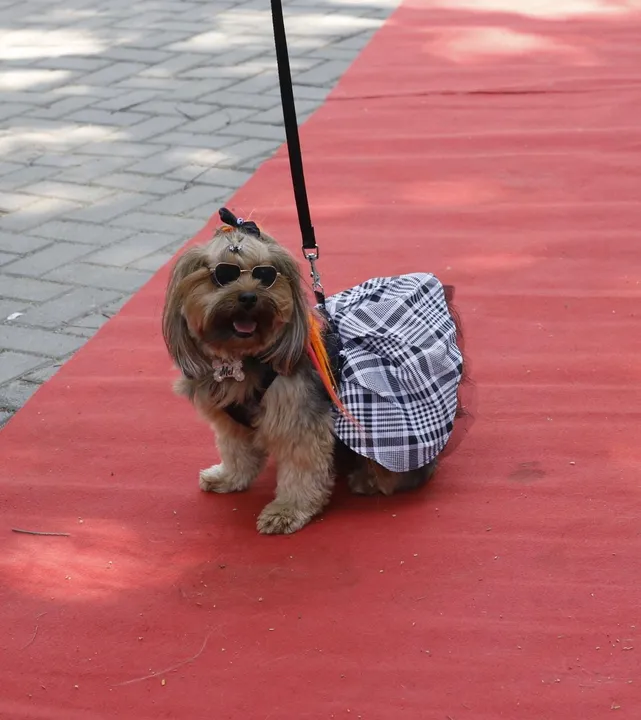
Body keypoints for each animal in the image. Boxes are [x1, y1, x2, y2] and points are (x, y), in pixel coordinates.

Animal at [162, 211, 464, 532]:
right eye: (222, 276)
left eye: (265, 275)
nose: (248, 297)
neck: (242, 358)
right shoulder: (230, 422)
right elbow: (236, 452)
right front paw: (229, 478)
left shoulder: (298, 417)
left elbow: (301, 468)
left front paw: (287, 510)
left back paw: (371, 479)